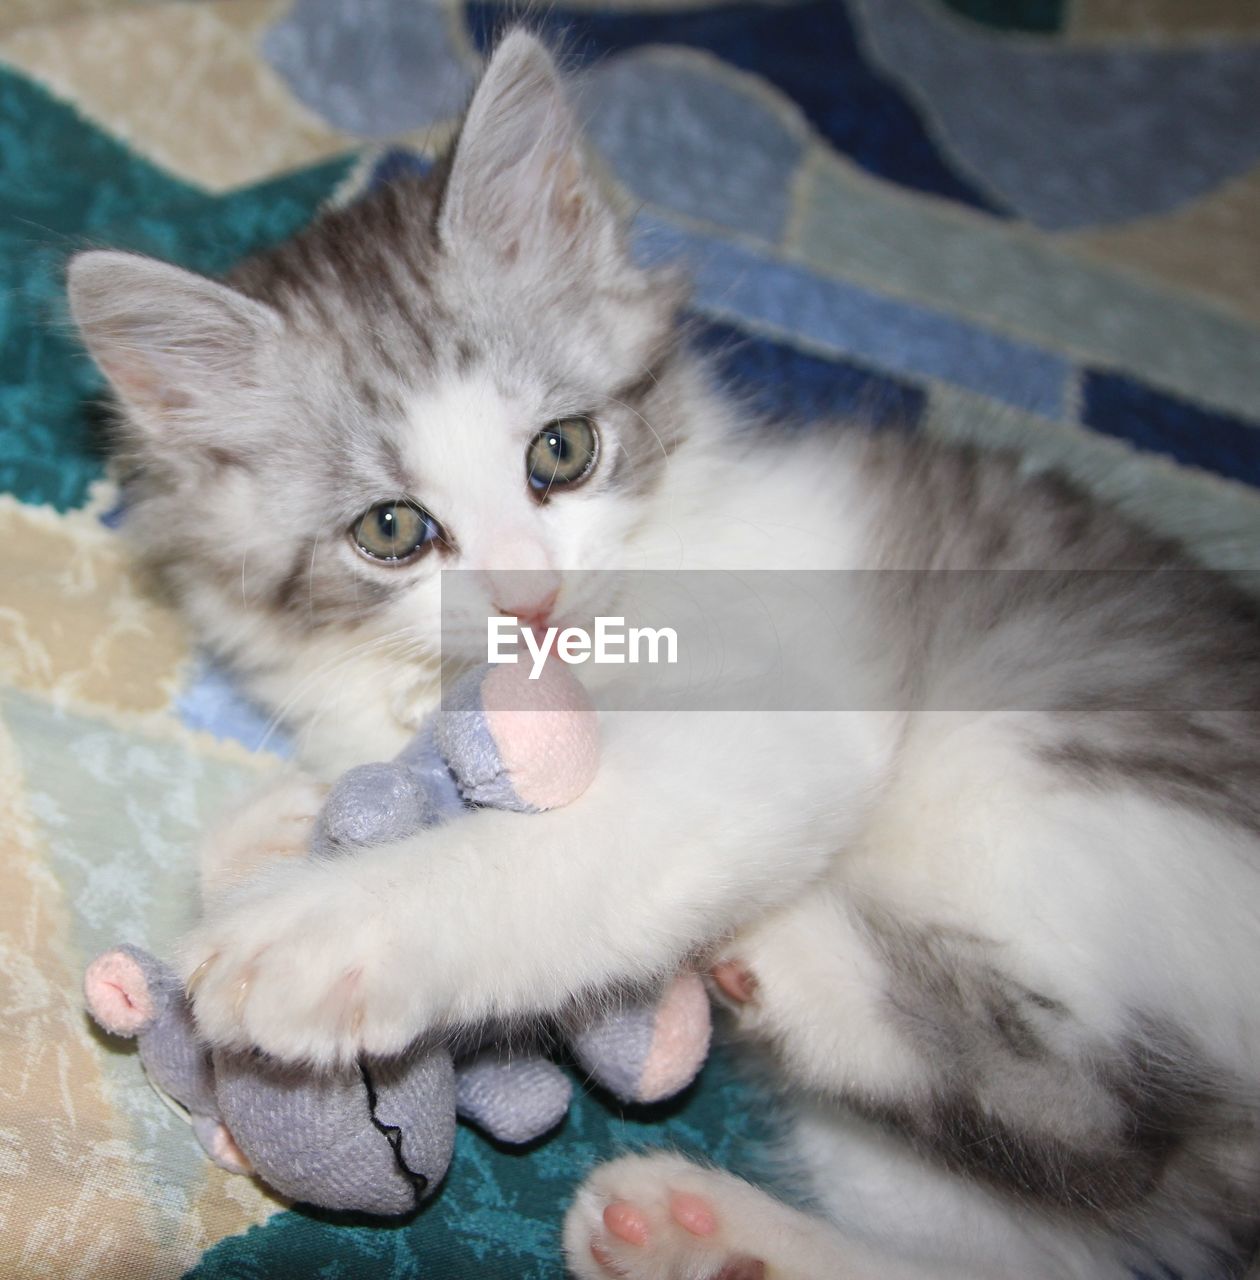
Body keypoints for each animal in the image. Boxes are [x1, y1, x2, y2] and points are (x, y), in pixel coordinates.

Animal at [68, 27, 1260, 1280]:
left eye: (563, 450)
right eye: (391, 529)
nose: (532, 599)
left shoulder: (777, 724)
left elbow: (563, 851)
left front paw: (319, 930)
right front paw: (282, 828)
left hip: (1049, 753)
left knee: (1117, 1122)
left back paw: (792, 956)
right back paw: (710, 1230)